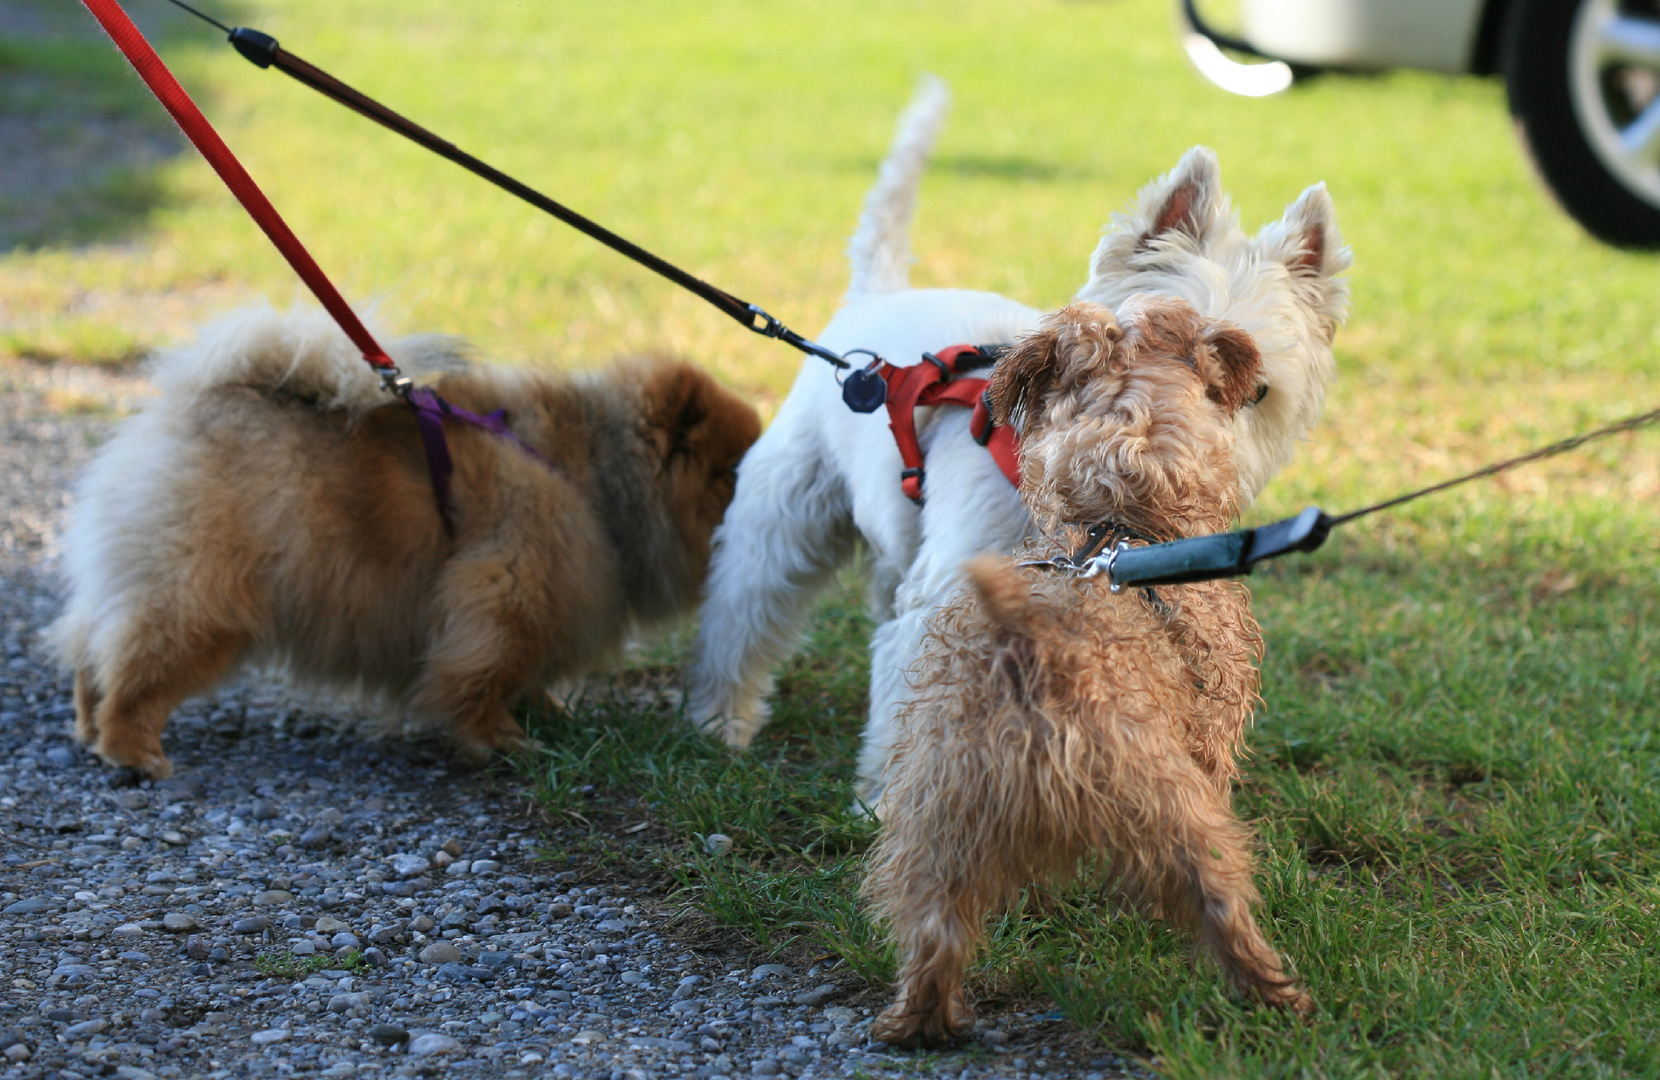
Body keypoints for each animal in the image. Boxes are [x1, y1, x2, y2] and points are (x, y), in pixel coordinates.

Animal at [45, 308, 760, 783]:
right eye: (732, 469)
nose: (761, 490)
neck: (594, 475)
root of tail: (197, 407)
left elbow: (524, 675)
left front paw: (547, 714)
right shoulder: (505, 592)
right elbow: (484, 674)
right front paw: (503, 740)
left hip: (140, 576)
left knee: (92, 648)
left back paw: (87, 726)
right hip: (205, 598)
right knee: (140, 669)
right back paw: (135, 751)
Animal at [687, 80, 1347, 806]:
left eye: (1254, 390)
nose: (1167, 479)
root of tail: (873, 301)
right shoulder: (947, 597)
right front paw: (890, 802)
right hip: (787, 510)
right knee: (745, 608)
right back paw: (721, 721)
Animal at [869, 295, 1308, 1048]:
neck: (1123, 521)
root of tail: (1034, 652)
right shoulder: (1210, 745)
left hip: (940, 824)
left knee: (934, 931)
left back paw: (919, 1024)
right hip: (1173, 809)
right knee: (1220, 903)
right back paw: (1278, 997)